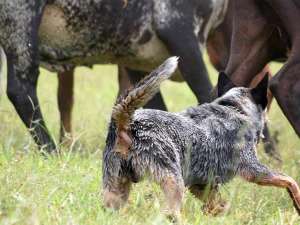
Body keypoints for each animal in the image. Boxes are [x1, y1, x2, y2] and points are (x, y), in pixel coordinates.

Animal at [101, 57, 300, 217]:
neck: (235, 108)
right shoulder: (254, 169)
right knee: (169, 214)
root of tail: (126, 123)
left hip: (115, 190)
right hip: (173, 181)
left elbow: (218, 206)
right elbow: (290, 180)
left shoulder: (202, 185)